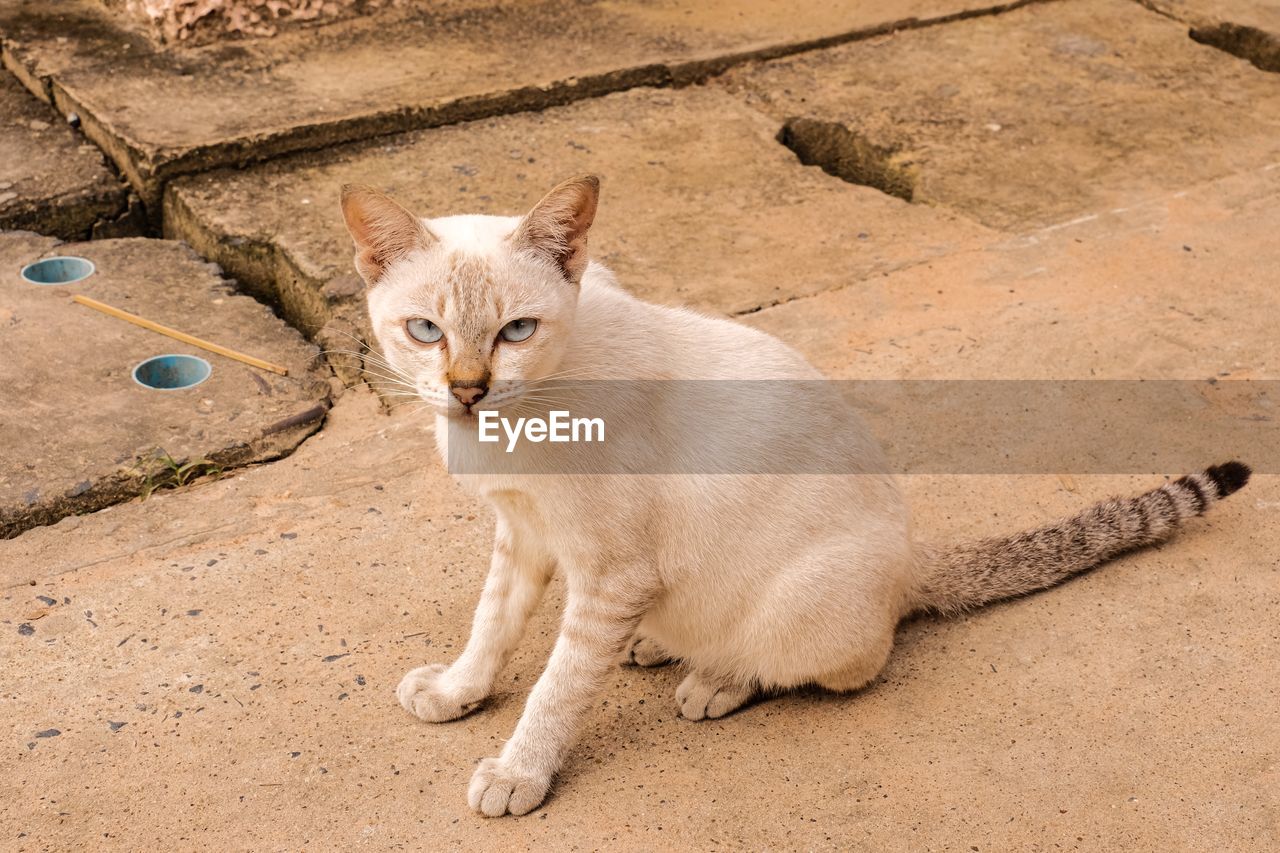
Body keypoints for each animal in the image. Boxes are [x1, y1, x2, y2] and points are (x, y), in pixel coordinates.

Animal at [337, 174, 1249, 819]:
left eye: (517, 331)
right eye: (425, 331)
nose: (467, 391)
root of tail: (907, 556)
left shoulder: (608, 572)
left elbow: (557, 685)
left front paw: (519, 769)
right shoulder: (525, 533)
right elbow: (491, 626)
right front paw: (460, 691)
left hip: (802, 602)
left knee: (844, 661)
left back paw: (716, 677)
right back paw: (656, 644)